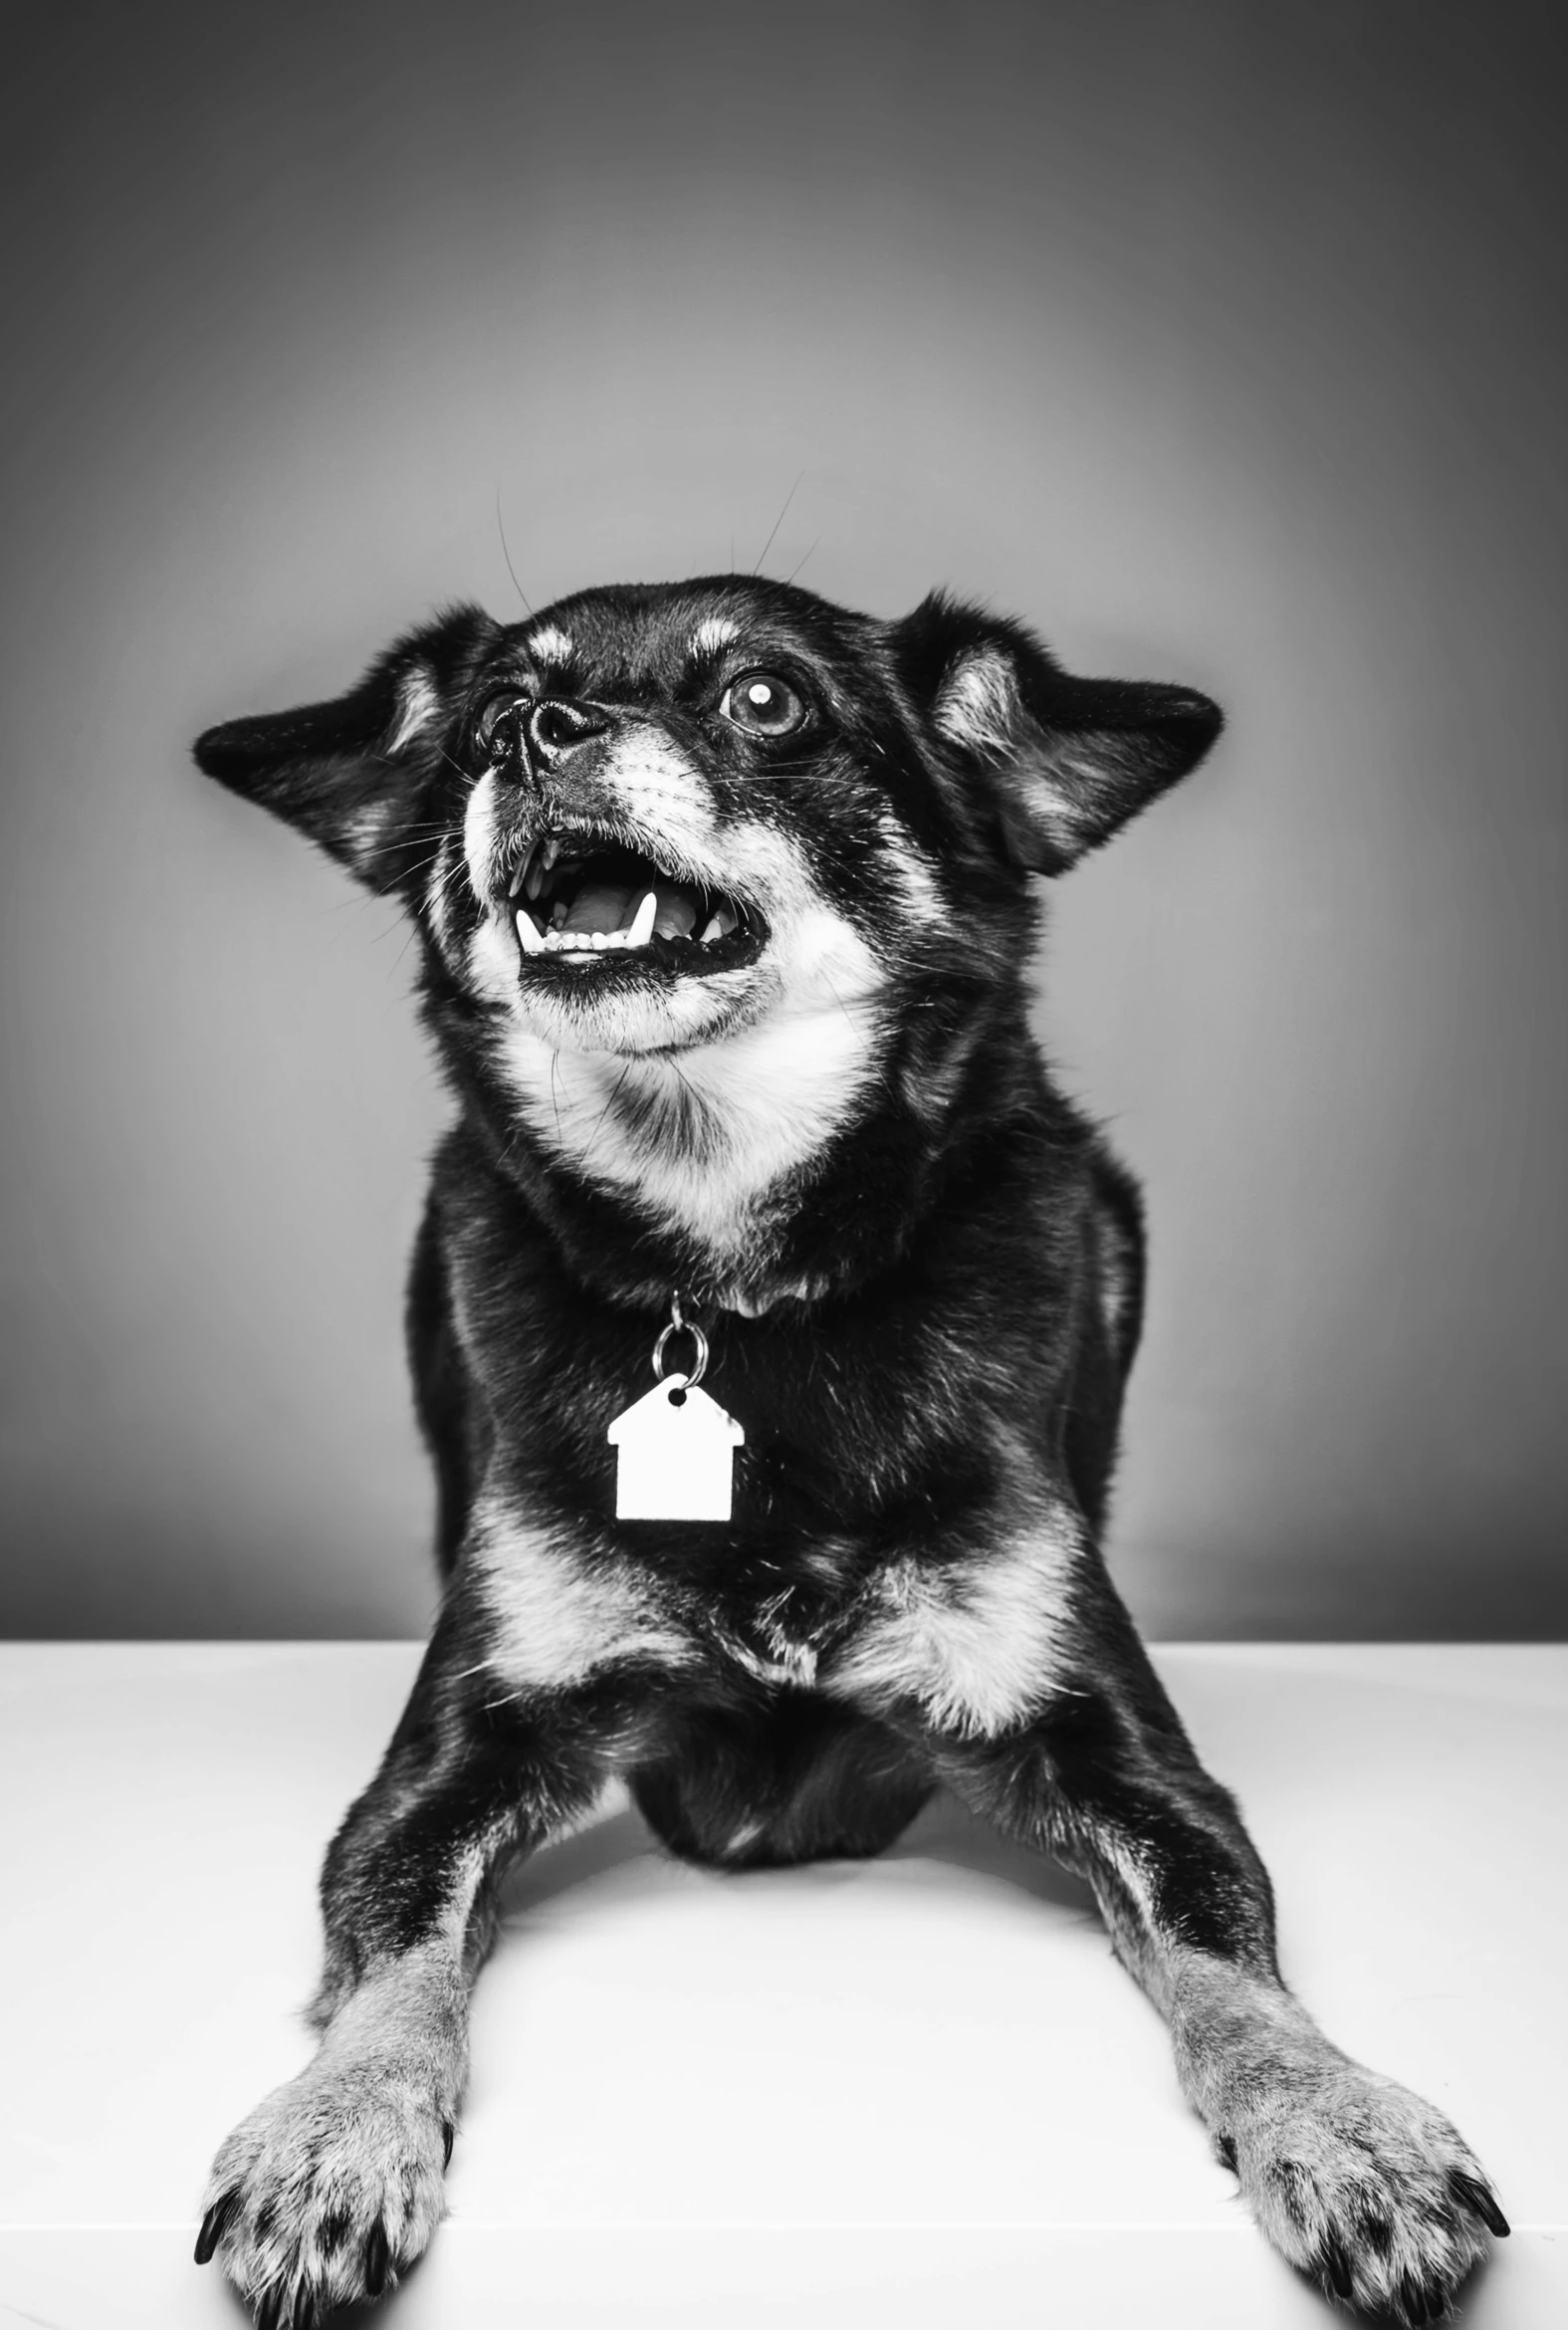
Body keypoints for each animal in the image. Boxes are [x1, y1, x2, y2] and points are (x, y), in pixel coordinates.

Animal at [192, 568, 1500, 2330]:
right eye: (485, 717)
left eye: (764, 700)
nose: (538, 733)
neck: (739, 1296)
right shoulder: (449, 1762)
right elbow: (394, 1958)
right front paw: (328, 2136)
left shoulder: (1123, 1755)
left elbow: (1230, 1962)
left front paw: (1346, 2127)